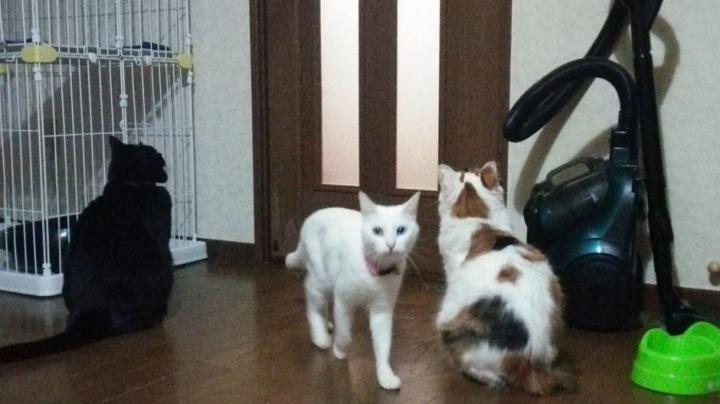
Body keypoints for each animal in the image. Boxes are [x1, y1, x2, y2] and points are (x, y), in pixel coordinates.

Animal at [285, 191, 420, 390]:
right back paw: (321, 338)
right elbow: (345, 334)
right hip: (320, 280)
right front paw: (339, 350)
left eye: (401, 230)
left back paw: (327, 325)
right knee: (312, 303)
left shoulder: (382, 311)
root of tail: (310, 219)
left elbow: (383, 345)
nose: (391, 245)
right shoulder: (344, 300)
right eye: (377, 231)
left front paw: (385, 376)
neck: (375, 273)